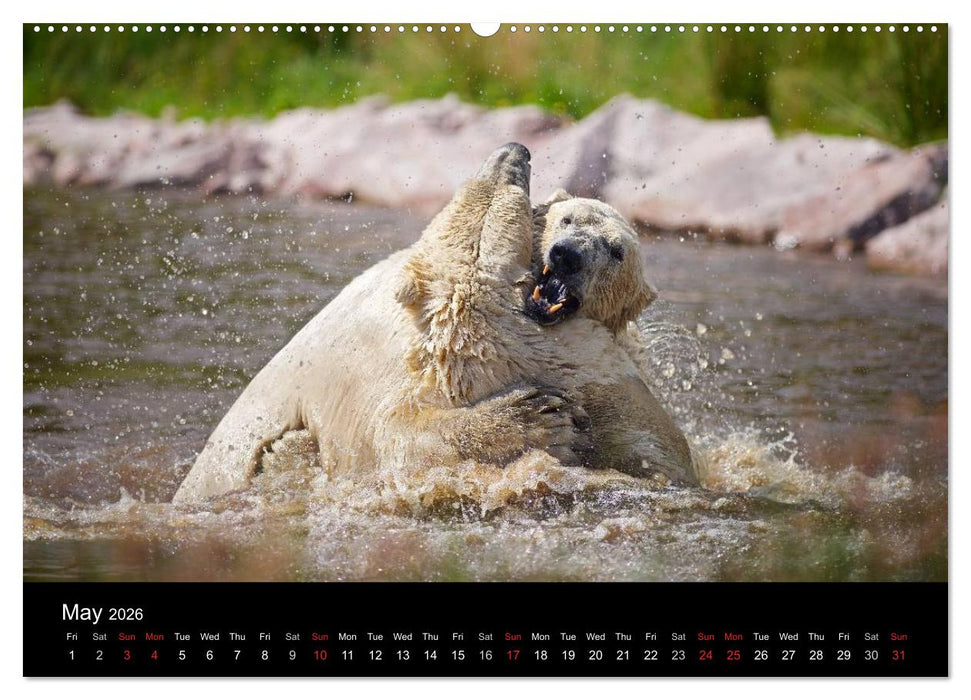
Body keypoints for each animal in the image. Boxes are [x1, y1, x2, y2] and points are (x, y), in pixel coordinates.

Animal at [173, 143, 695, 504]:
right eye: (565, 219)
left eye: (616, 250)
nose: (516, 150)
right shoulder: (382, 376)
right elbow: (396, 441)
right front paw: (536, 417)